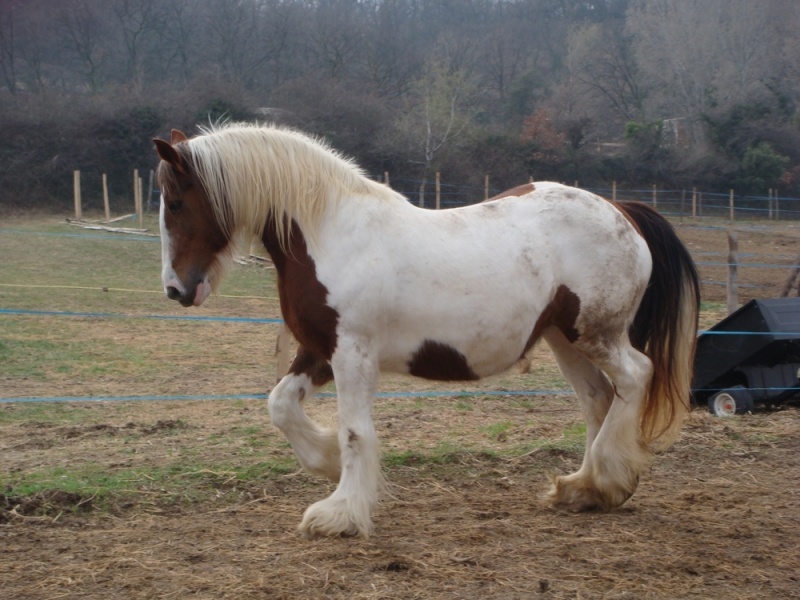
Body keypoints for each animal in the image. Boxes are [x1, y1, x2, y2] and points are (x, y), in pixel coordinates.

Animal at [153, 122, 696, 540]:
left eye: (175, 203)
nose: (175, 289)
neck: (331, 232)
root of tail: (623, 211)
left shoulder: (352, 354)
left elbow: (354, 432)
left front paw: (341, 513)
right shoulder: (320, 349)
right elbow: (281, 405)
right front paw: (327, 462)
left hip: (596, 334)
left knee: (634, 377)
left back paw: (607, 480)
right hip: (566, 340)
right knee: (598, 399)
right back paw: (585, 488)